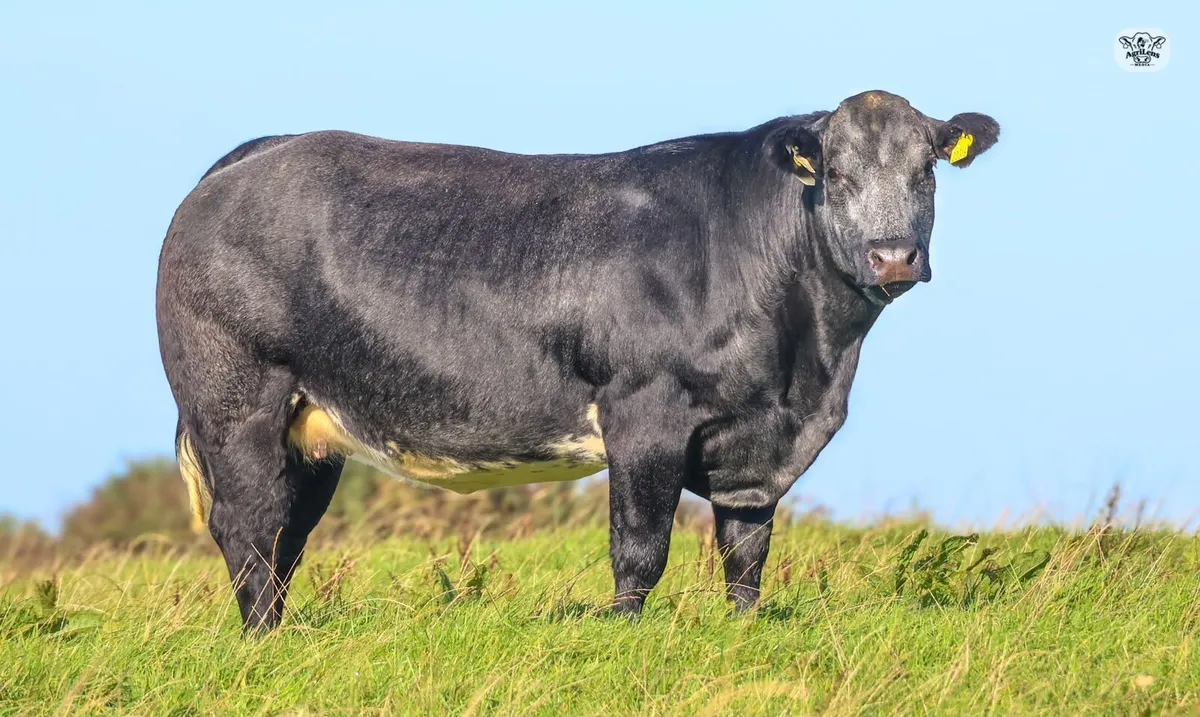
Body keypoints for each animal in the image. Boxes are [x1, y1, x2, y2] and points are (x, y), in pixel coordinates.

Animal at [156, 90, 999, 632]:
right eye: (838, 174)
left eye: (926, 171)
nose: (893, 255)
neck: (808, 365)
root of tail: (254, 154)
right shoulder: (645, 413)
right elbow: (640, 548)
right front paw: (625, 637)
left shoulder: (758, 443)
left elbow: (746, 551)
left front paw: (742, 628)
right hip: (236, 401)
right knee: (249, 524)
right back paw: (261, 638)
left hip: (311, 431)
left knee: (285, 534)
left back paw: (284, 631)